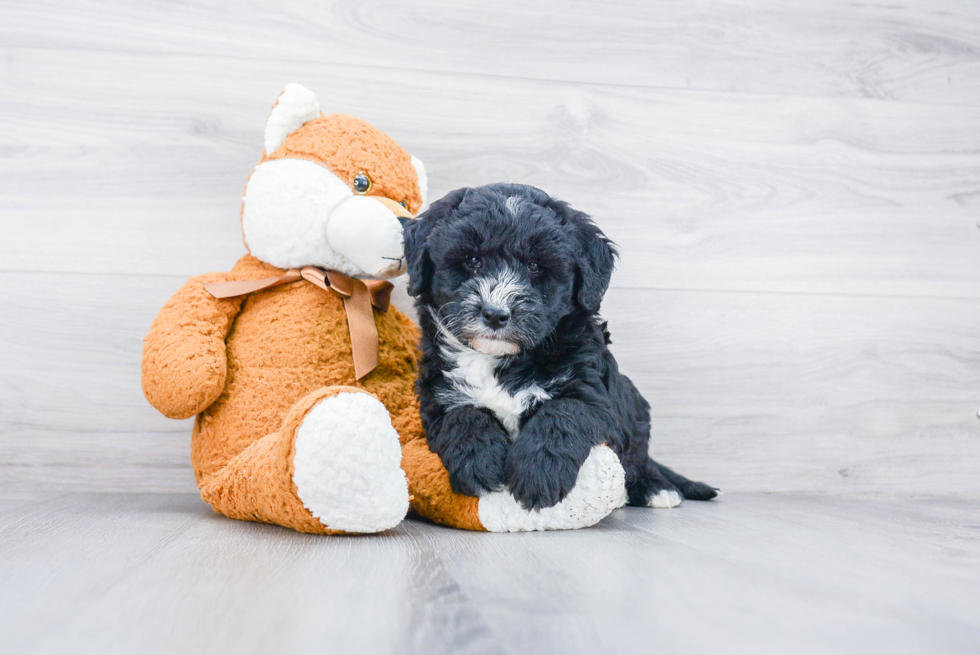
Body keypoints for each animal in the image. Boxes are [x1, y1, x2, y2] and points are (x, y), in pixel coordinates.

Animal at [402, 184, 716, 512]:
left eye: (535, 266)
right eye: (472, 261)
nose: (495, 314)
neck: (501, 360)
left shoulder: (592, 393)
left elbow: (562, 412)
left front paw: (537, 473)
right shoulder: (436, 394)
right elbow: (461, 414)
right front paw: (479, 461)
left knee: (637, 458)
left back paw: (656, 486)